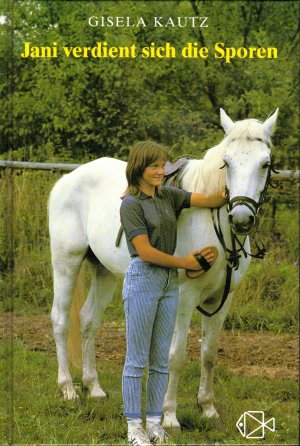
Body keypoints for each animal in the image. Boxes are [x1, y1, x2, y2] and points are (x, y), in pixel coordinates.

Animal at [48, 108, 278, 428]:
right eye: (227, 162)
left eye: (265, 163)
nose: (241, 218)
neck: (212, 222)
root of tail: (69, 178)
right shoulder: (184, 296)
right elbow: (176, 354)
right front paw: (169, 417)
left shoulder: (223, 299)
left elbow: (208, 353)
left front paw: (208, 408)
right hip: (66, 262)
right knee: (60, 319)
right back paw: (68, 389)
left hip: (104, 272)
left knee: (88, 320)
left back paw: (93, 387)